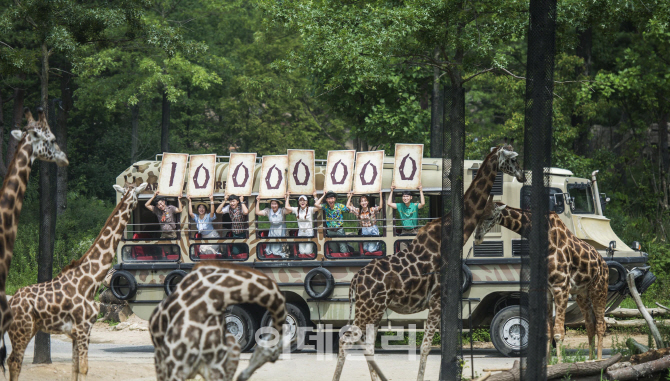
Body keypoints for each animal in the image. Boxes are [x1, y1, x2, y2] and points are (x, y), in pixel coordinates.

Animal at [6, 182, 148, 380]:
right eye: (137, 192)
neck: (91, 280)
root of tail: (10, 302)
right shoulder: (84, 328)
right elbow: (84, 368)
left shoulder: (74, 332)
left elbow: (74, 368)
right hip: (22, 330)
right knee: (14, 362)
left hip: (27, 329)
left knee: (11, 361)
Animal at [334, 145, 528, 380]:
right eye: (514, 159)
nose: (522, 175)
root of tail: (354, 281)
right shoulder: (437, 299)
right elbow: (426, 346)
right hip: (369, 308)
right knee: (346, 341)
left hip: (375, 309)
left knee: (367, 345)